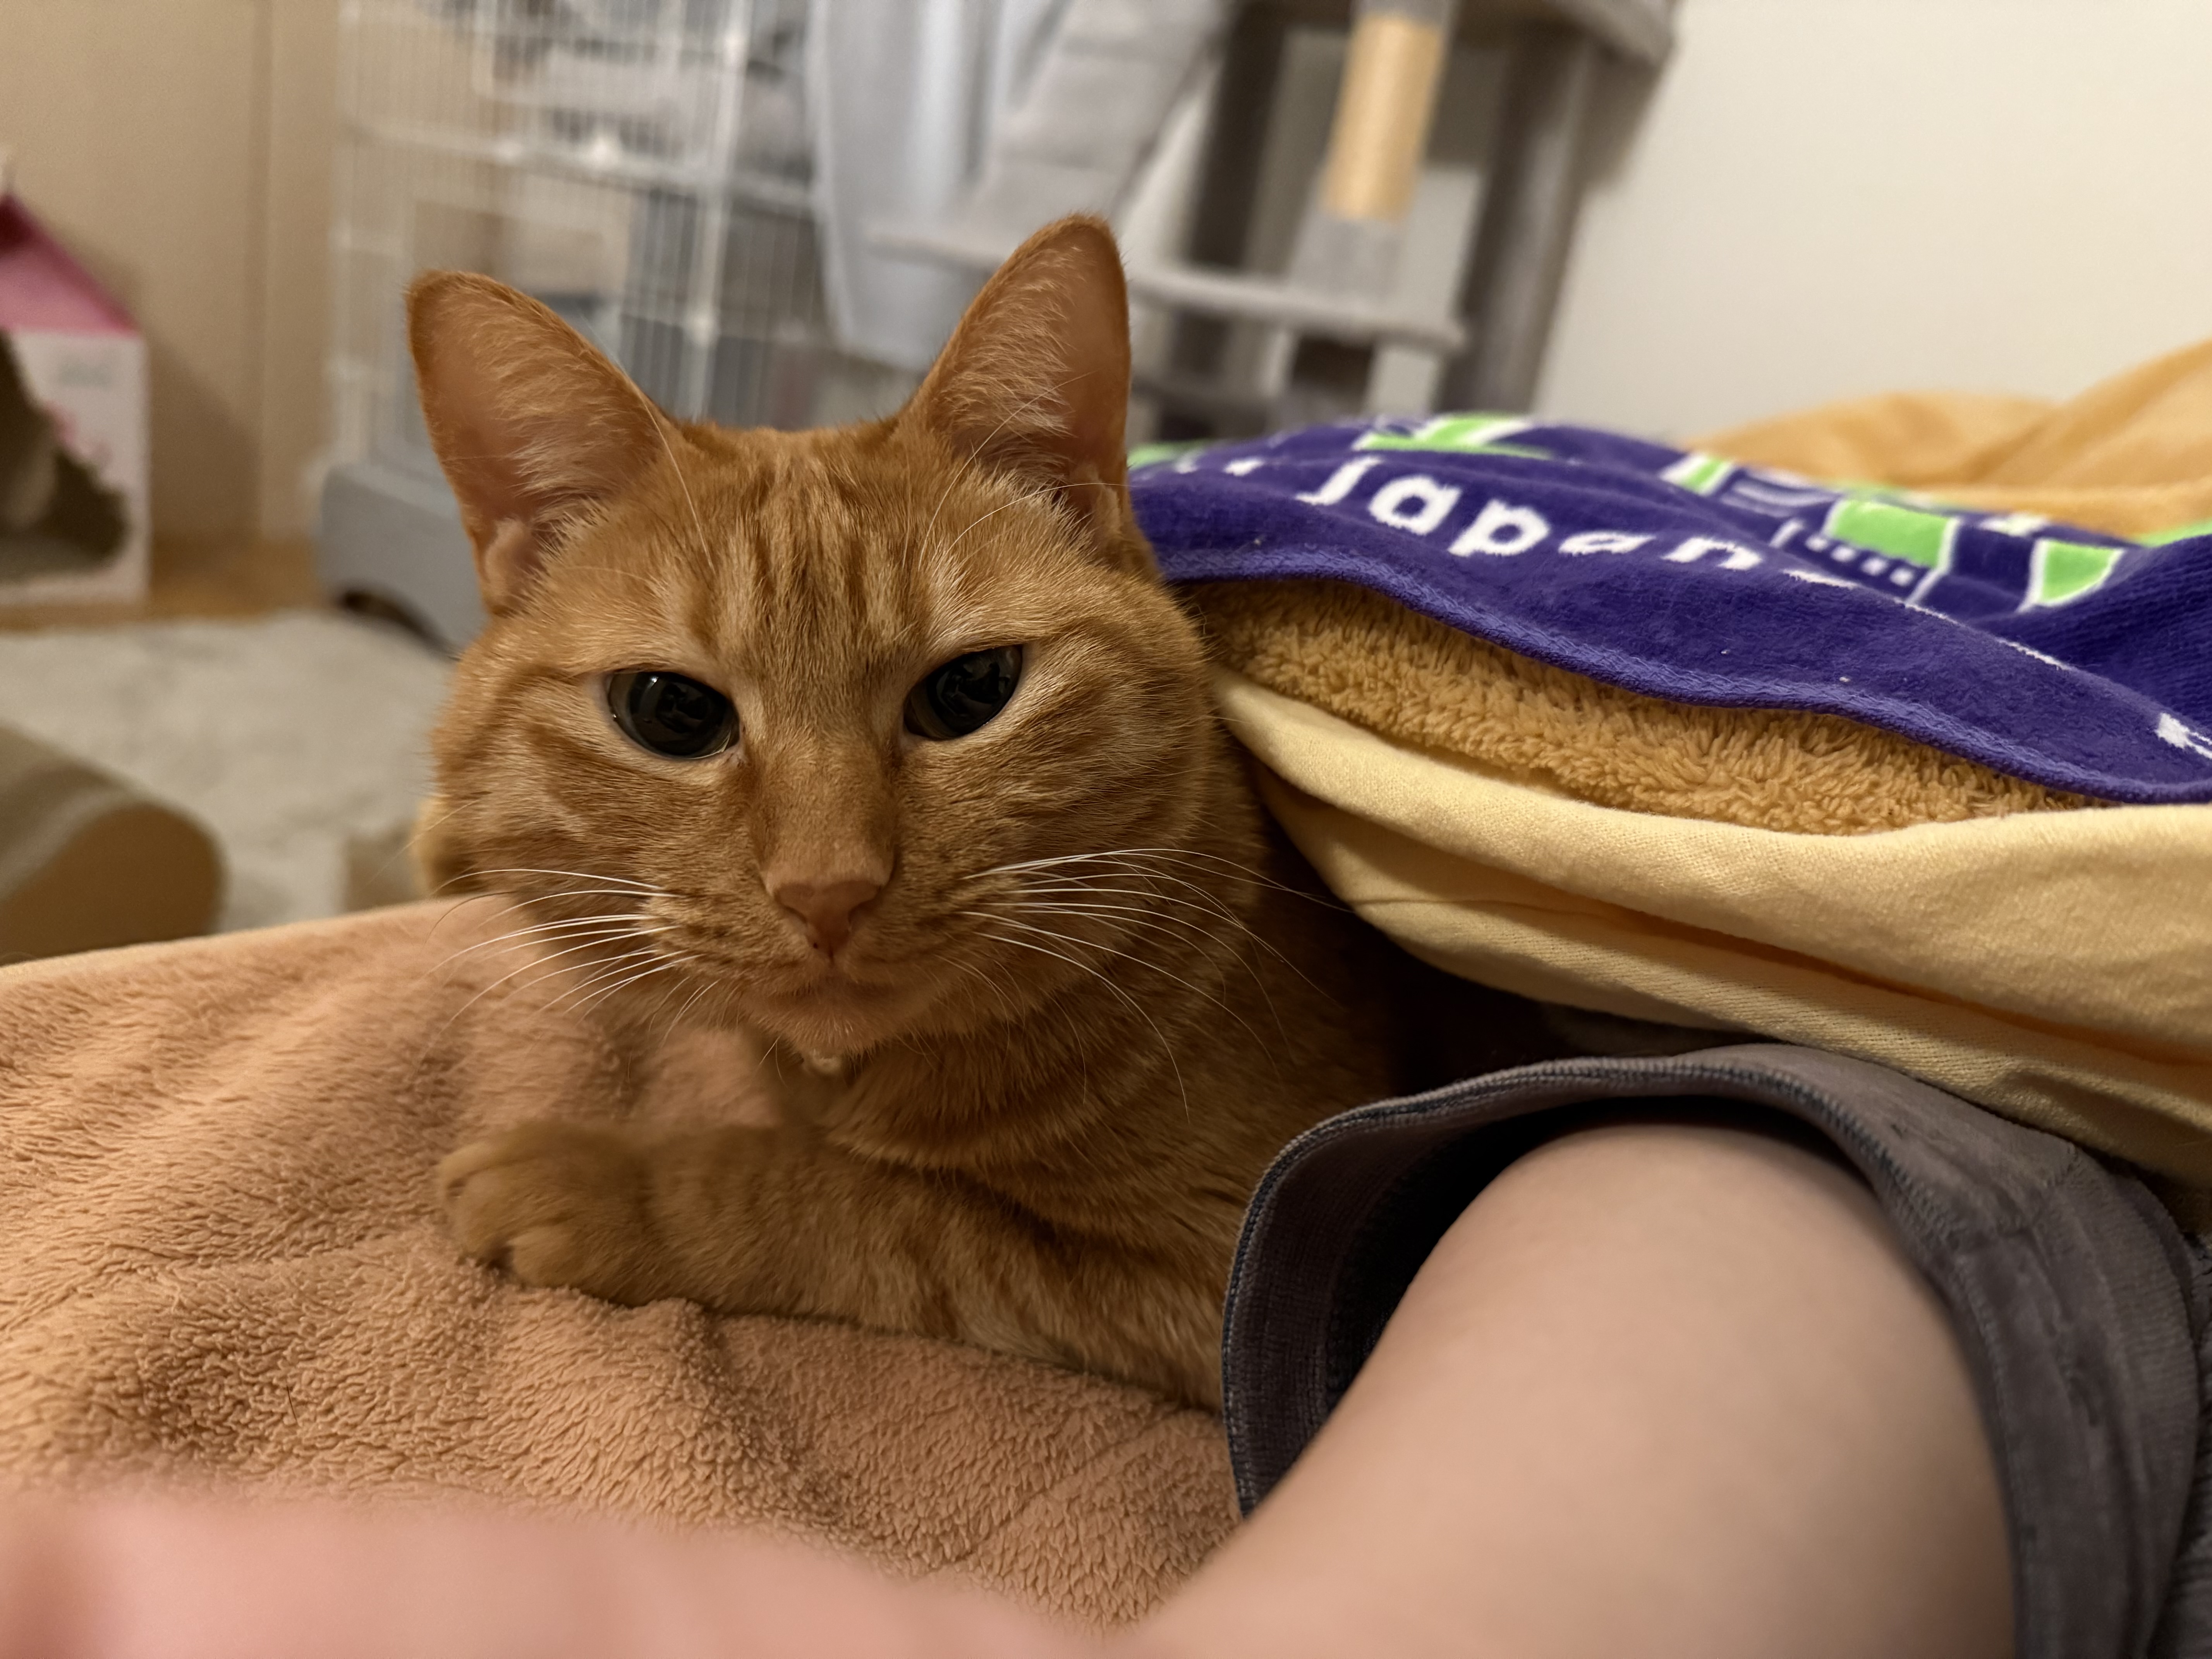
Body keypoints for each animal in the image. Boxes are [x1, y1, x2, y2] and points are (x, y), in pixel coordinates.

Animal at [417, 215, 1588, 1407]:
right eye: (672, 712)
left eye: (972, 691)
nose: (828, 890)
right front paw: (449, 843)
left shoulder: (1241, 1262)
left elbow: (866, 1202)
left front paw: (606, 1180)